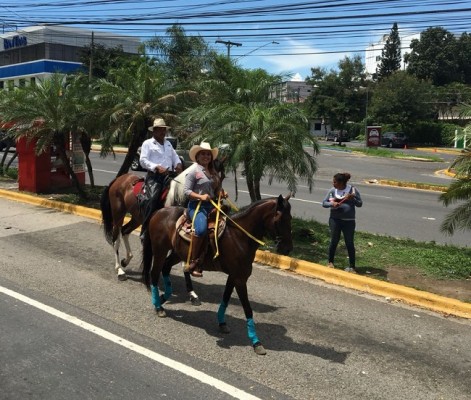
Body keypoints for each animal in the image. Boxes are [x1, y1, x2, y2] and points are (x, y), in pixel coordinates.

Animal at [142, 195, 294, 354]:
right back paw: (158, 307)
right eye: (280, 217)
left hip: (177, 253)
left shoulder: (233, 276)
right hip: (160, 250)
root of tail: (159, 212)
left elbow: (226, 298)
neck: (239, 236)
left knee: (165, 268)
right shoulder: (240, 279)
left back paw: (163, 298)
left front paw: (222, 322)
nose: (288, 248)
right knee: (154, 274)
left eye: (290, 217)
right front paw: (256, 342)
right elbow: (248, 309)